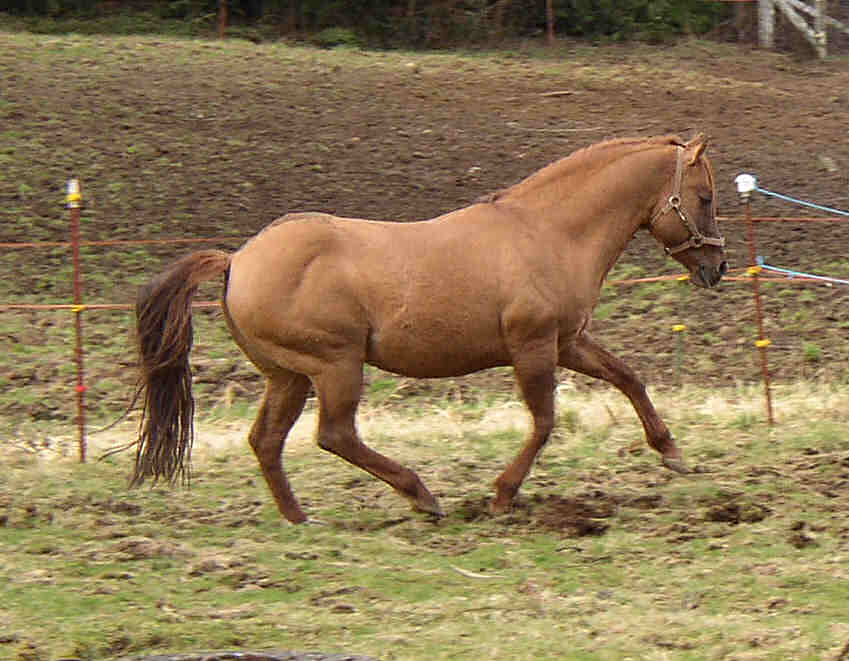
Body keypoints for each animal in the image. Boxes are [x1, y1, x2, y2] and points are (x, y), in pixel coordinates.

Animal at [133, 133, 726, 524]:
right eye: (705, 197)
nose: (717, 267)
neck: (547, 233)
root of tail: (237, 260)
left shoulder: (569, 342)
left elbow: (628, 379)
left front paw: (671, 452)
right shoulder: (533, 346)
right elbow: (544, 422)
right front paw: (502, 495)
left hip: (289, 376)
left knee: (266, 441)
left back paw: (300, 518)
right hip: (335, 365)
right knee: (335, 435)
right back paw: (421, 496)